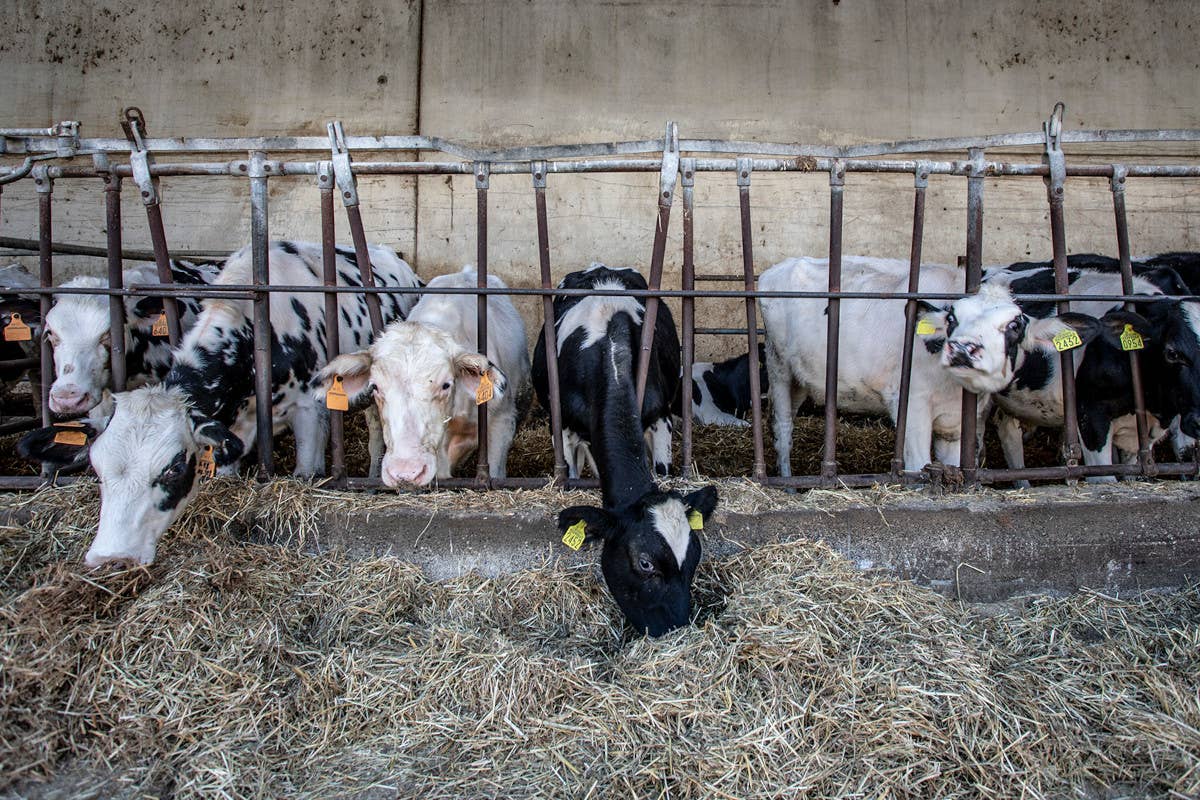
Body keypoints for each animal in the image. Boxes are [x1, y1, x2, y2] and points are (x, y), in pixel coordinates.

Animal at [16, 241, 422, 566]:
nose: (112, 557)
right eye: (97, 470)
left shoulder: (310, 410)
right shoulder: (230, 429)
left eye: (173, 469)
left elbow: (305, 471)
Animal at [758, 255, 1099, 474]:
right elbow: (916, 465)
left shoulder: (958, 424)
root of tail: (775, 269)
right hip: (778, 366)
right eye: (952, 318)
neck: (951, 388)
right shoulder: (910, 405)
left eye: (1014, 325)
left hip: (803, 376)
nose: (961, 348)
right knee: (783, 426)